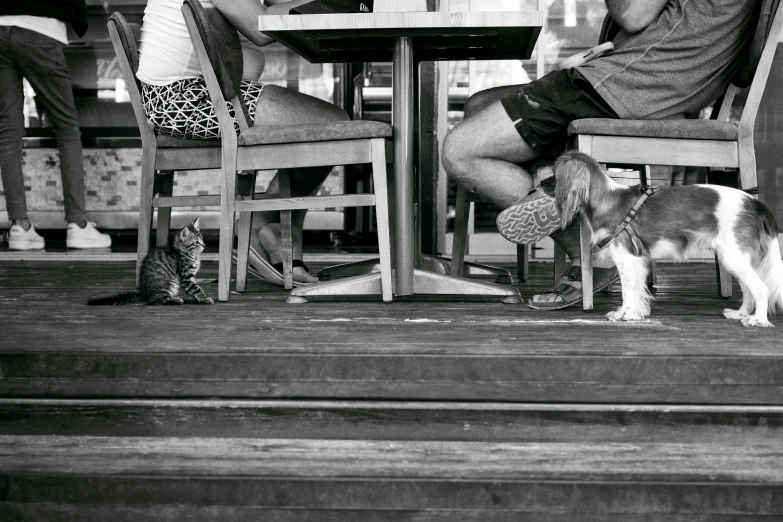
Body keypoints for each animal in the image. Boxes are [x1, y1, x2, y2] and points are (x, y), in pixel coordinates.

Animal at [556, 150, 780, 324]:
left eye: (554, 171)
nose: (543, 180)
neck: (606, 199)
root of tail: (755, 203)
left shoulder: (626, 258)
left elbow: (628, 291)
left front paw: (623, 315)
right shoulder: (639, 260)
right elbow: (637, 291)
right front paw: (635, 314)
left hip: (735, 258)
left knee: (761, 289)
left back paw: (757, 320)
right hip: (735, 260)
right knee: (749, 290)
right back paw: (740, 314)